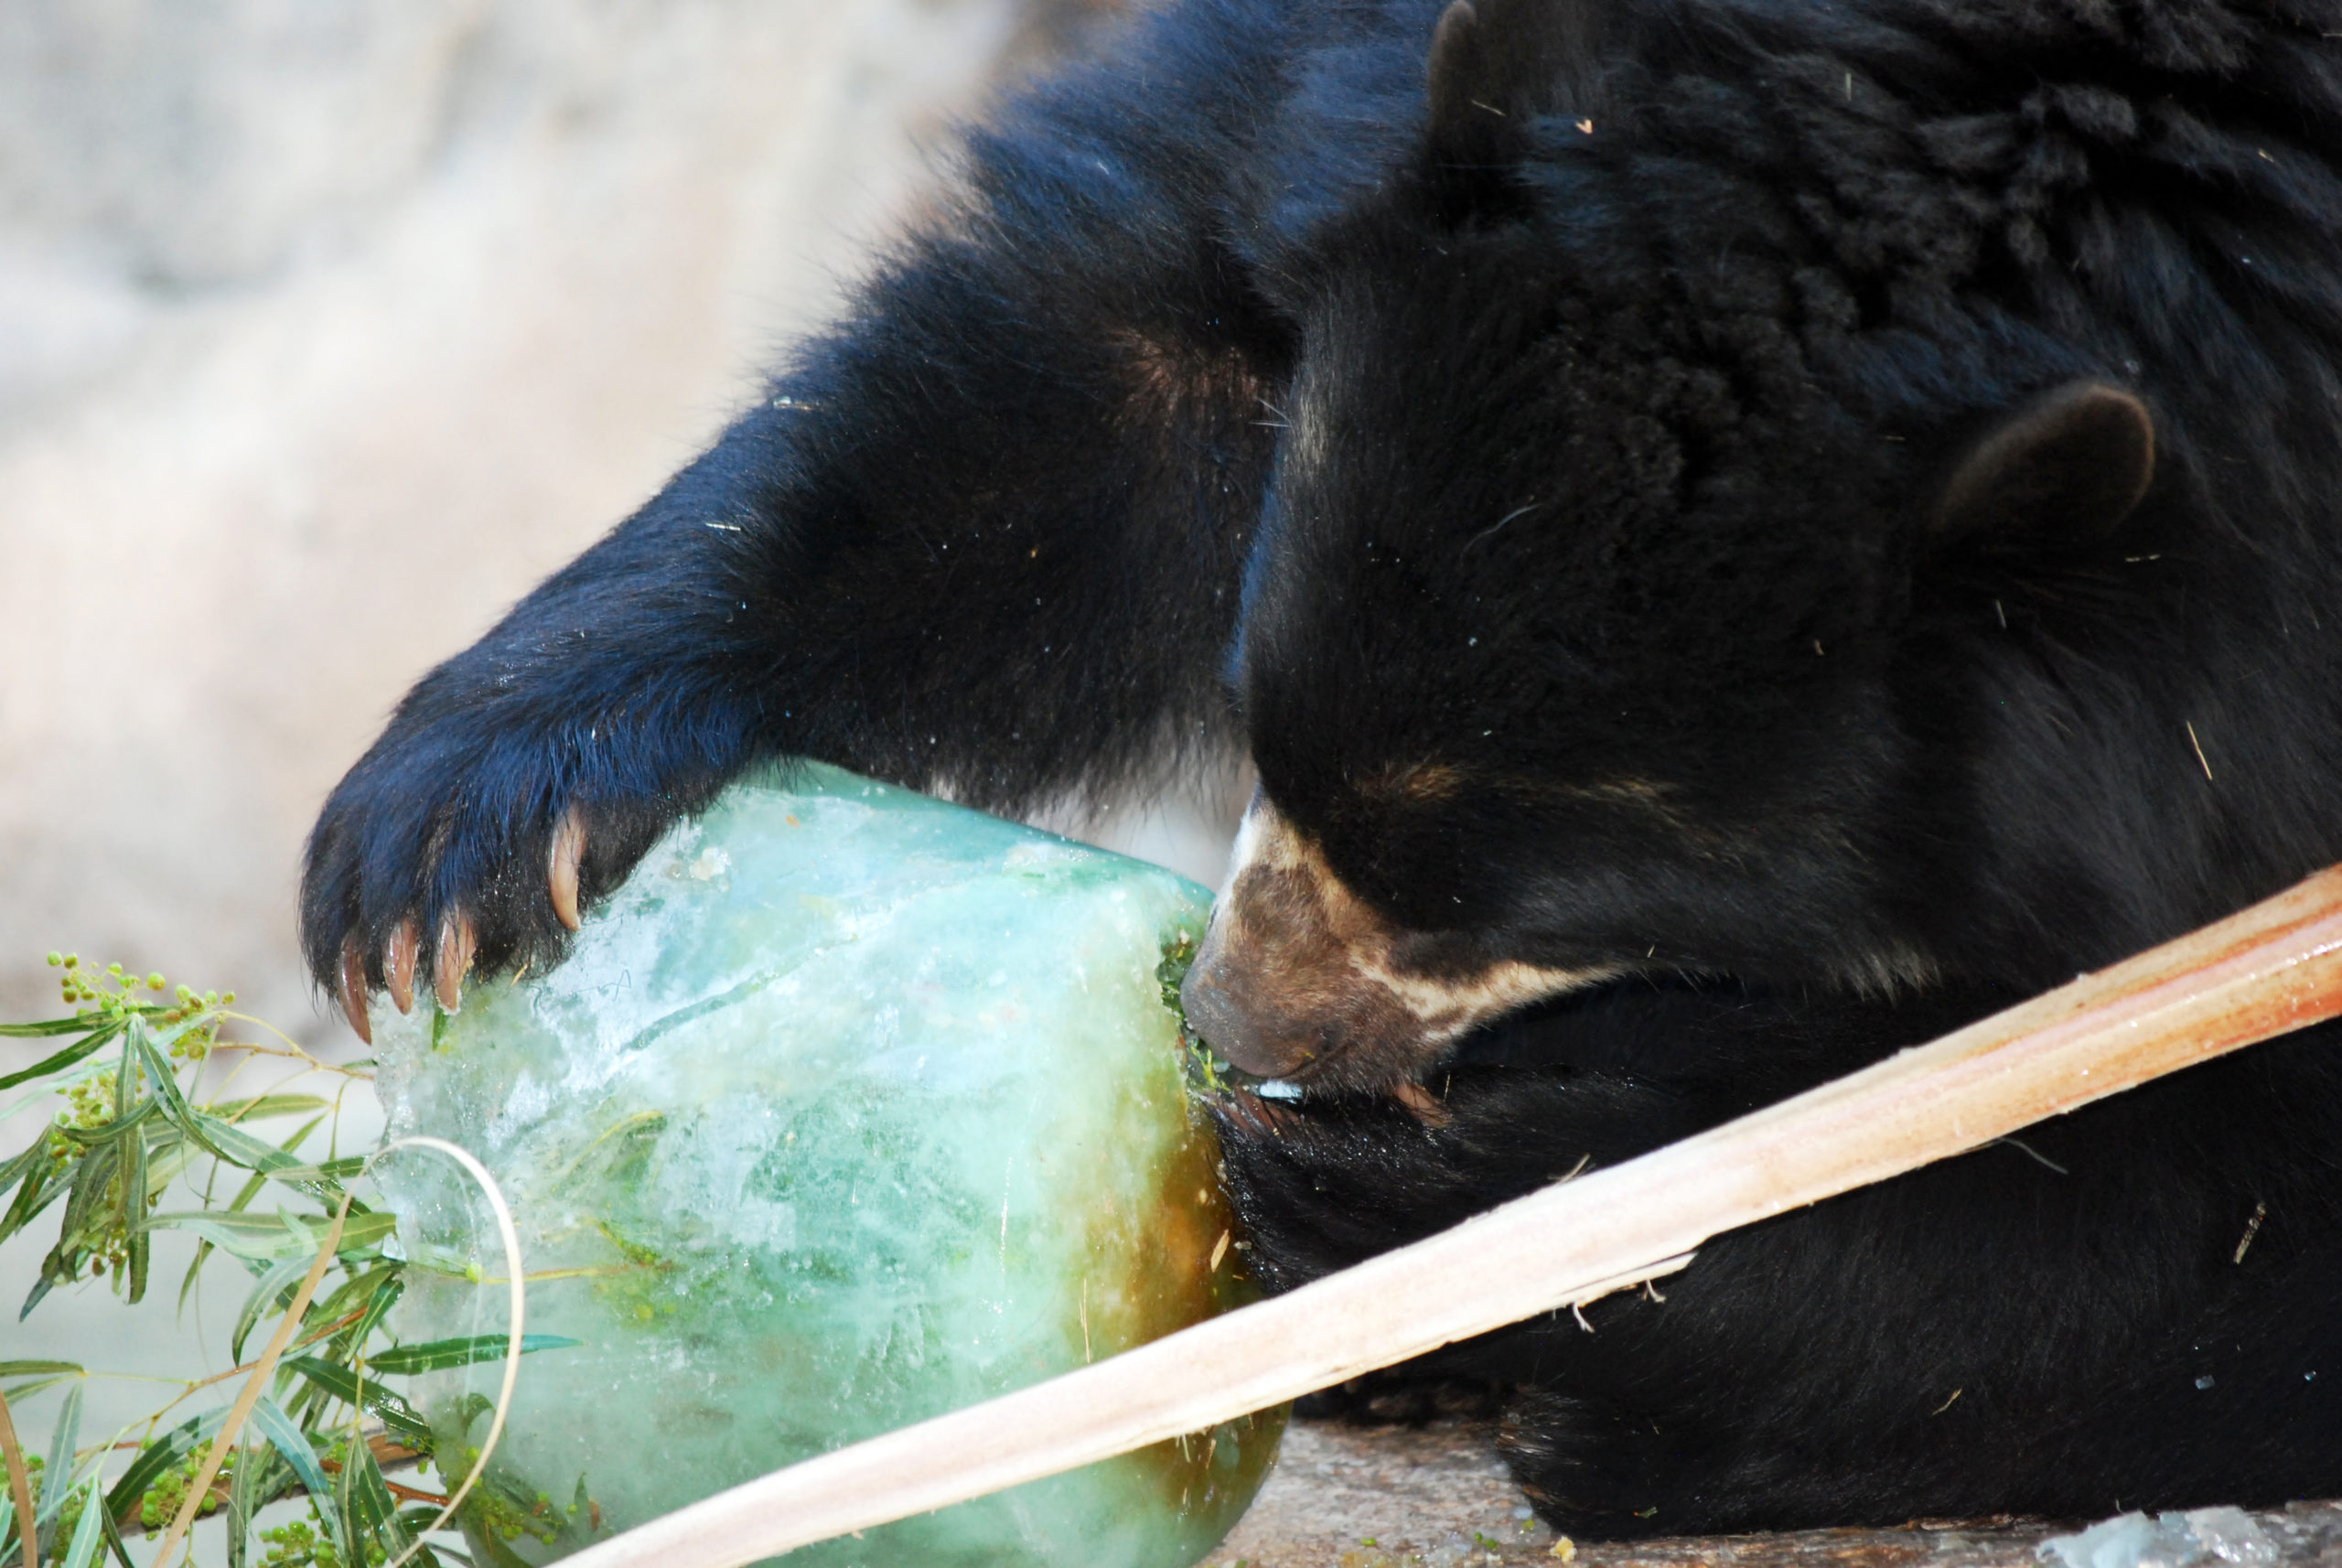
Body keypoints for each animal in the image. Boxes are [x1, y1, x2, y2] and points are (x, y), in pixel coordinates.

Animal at [301, 0, 2342, 1538]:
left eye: (1510, 891)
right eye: (1262, 716)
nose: (1223, 1021)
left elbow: (2193, 1191)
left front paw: (1473, 1196)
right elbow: (1113, 355)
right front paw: (458, 833)